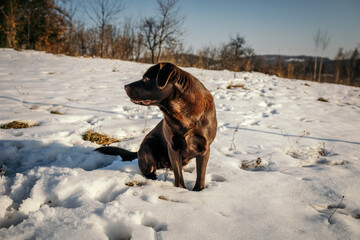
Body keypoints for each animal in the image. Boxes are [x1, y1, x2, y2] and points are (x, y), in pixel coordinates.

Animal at [95, 62, 218, 191]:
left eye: (146, 79)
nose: (125, 86)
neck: (182, 112)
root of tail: (138, 152)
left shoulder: (204, 148)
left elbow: (200, 176)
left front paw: (198, 191)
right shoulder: (173, 147)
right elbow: (178, 175)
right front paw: (180, 189)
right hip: (149, 144)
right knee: (148, 170)